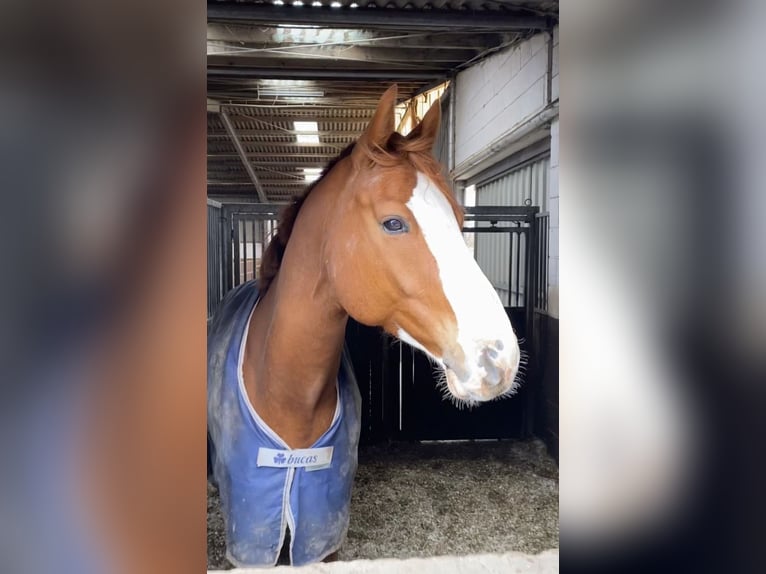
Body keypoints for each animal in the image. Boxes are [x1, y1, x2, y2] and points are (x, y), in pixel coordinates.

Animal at [207, 85, 521, 568]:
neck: (284, 391)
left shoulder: (322, 539)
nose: (498, 359)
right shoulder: (249, 545)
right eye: (393, 223)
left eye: (458, 219)